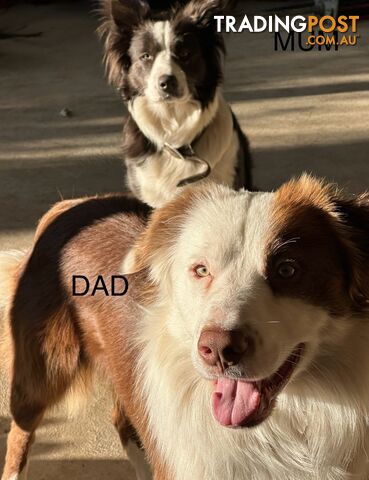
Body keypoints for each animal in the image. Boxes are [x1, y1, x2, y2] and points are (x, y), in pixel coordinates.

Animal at [0, 177, 368, 480]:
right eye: (201, 270)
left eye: (287, 269)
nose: (217, 350)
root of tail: (69, 206)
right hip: (44, 370)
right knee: (20, 433)